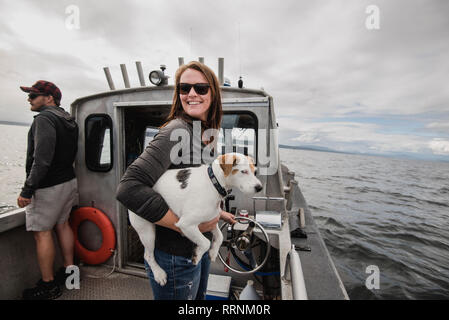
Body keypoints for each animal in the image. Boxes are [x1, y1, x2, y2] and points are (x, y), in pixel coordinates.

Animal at [129, 152, 262, 284]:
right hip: (147, 231)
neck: (214, 184)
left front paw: (213, 252)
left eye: (254, 171)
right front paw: (197, 255)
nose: (259, 187)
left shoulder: (211, 221)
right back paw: (159, 274)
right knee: (148, 255)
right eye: (243, 171)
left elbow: (219, 237)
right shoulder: (186, 224)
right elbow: (206, 242)